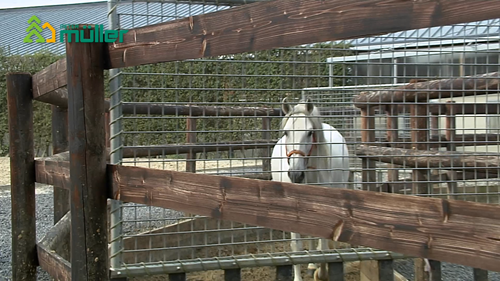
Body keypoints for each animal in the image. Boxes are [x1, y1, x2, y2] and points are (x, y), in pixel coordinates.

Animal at [272, 97, 350, 280]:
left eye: (309, 132)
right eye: (286, 132)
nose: (295, 174)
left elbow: (324, 246)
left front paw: (321, 273)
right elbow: (297, 247)